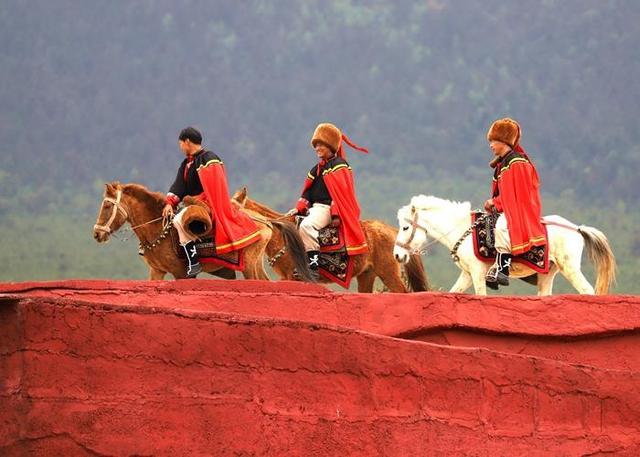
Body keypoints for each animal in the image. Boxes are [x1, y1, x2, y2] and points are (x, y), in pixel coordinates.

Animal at [94, 182, 314, 282]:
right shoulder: (156, 270)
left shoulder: (181, 273)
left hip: (249, 265)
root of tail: (266, 222)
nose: (96, 234)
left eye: (107, 205)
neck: (159, 230)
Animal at [392, 193, 616, 296]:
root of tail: (576, 228)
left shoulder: (477, 273)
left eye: (405, 227)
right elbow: (454, 292)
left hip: (570, 268)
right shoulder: (467, 274)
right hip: (548, 273)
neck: (463, 228)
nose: (397, 255)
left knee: (588, 291)